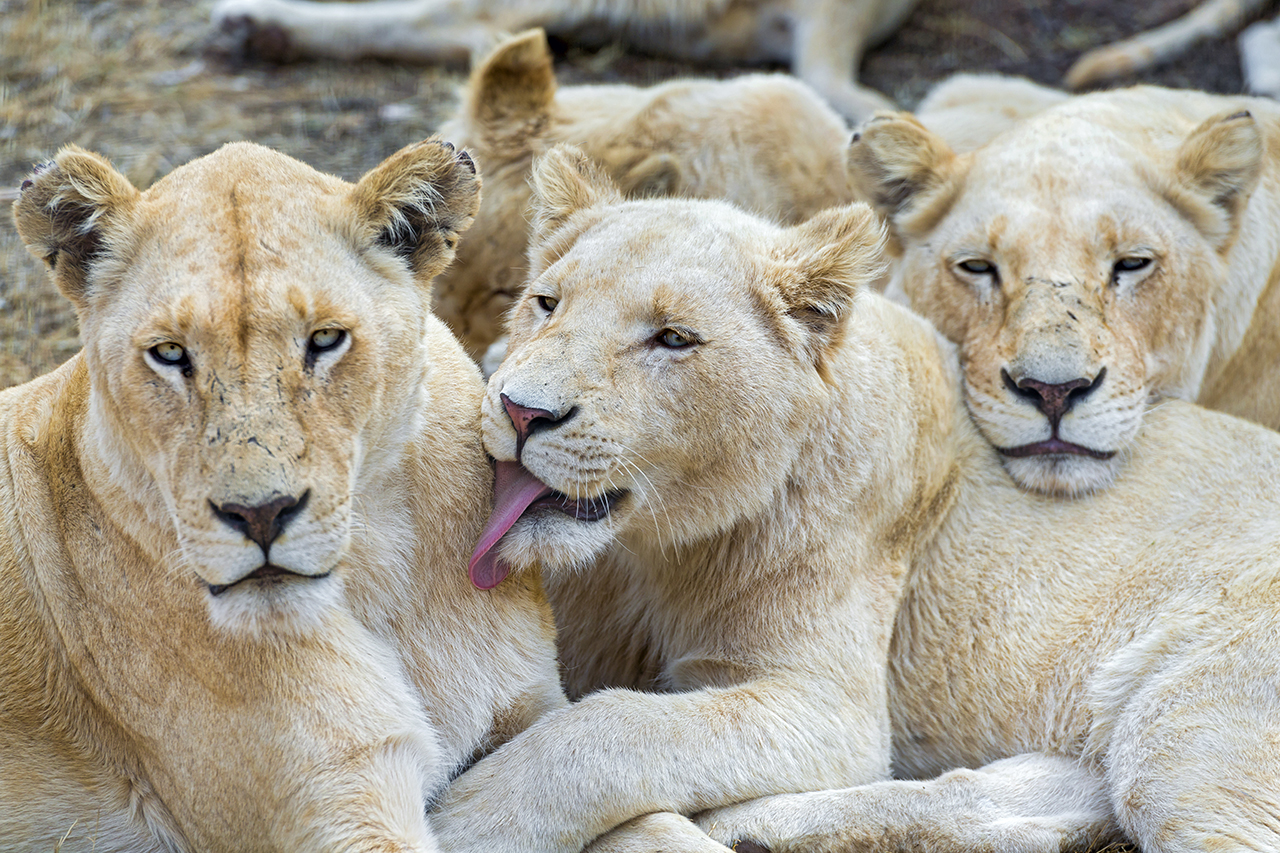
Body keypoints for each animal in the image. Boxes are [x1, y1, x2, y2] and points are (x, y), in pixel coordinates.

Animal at [1, 140, 560, 850]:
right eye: (169, 353)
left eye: (324, 339)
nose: (260, 514)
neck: (383, 579)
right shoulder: (333, 801)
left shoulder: (531, 707)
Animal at [427, 144, 1280, 850]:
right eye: (547, 303)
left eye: (673, 338)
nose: (521, 410)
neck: (644, 547)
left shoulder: (828, 704)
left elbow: (607, 724)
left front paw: (466, 815)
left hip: (1194, 726)